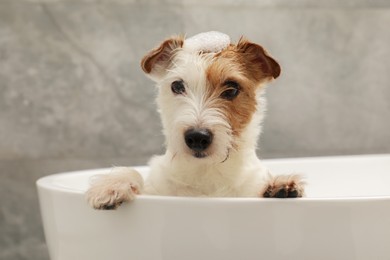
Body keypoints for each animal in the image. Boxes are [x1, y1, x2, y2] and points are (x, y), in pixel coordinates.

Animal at [87, 31, 306, 209]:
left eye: (231, 89)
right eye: (177, 86)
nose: (197, 137)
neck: (206, 173)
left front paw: (279, 185)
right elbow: (137, 176)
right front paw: (113, 184)